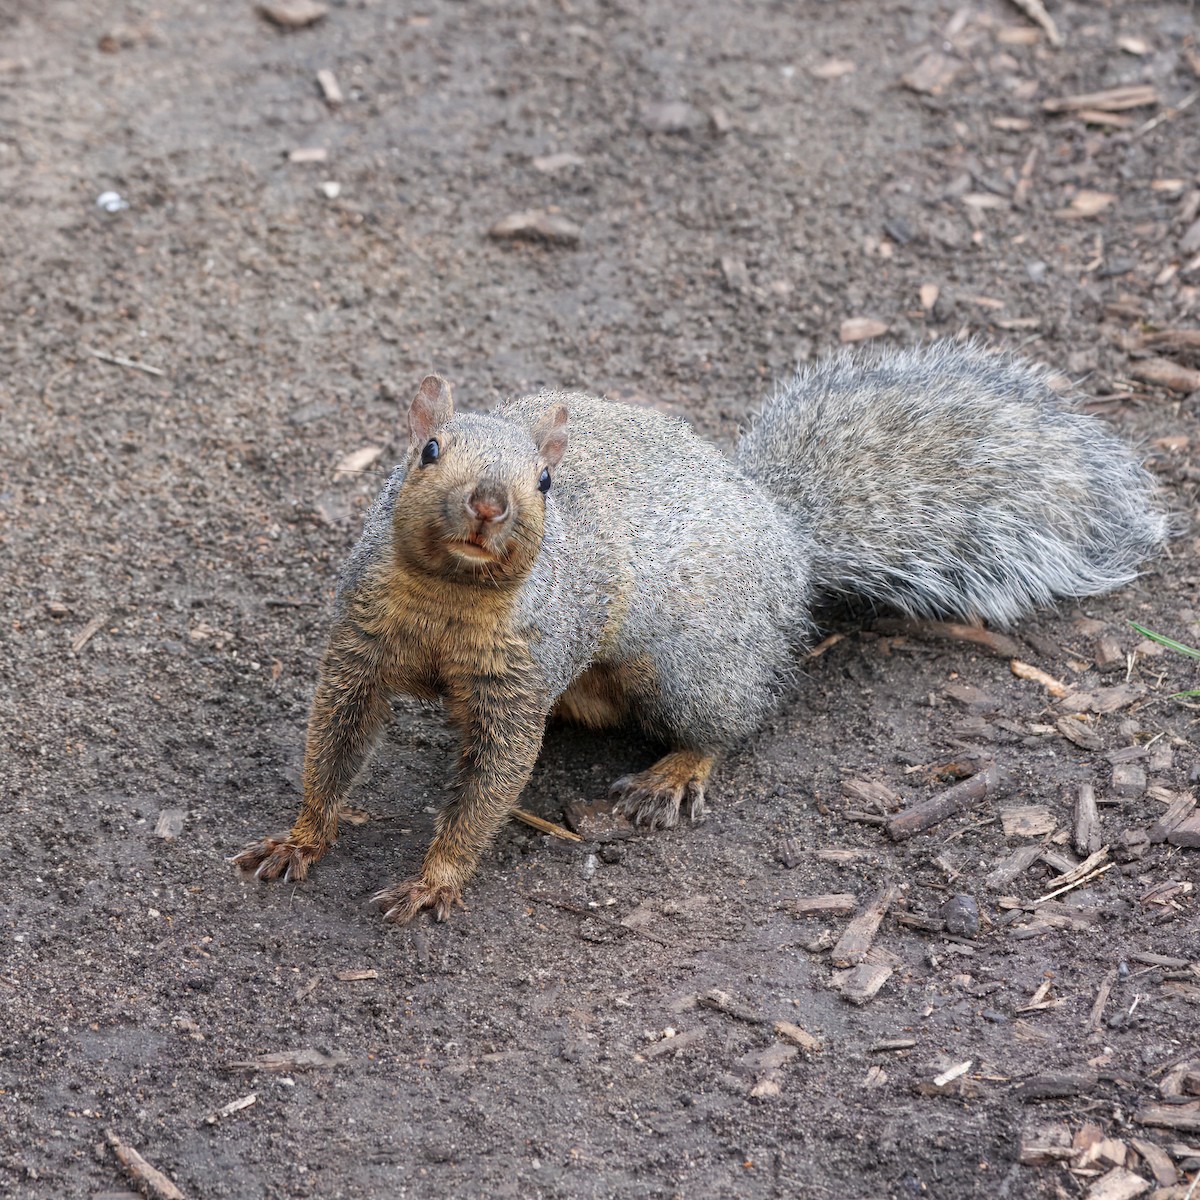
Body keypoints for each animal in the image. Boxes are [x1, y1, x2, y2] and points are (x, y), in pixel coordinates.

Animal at [234, 340, 1166, 923]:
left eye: (545, 482)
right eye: (427, 451)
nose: (490, 505)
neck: (448, 601)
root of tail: (788, 540)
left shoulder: (518, 681)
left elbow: (490, 786)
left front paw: (435, 880)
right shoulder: (360, 648)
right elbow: (336, 741)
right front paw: (302, 836)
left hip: (690, 667)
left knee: (732, 721)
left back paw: (676, 772)